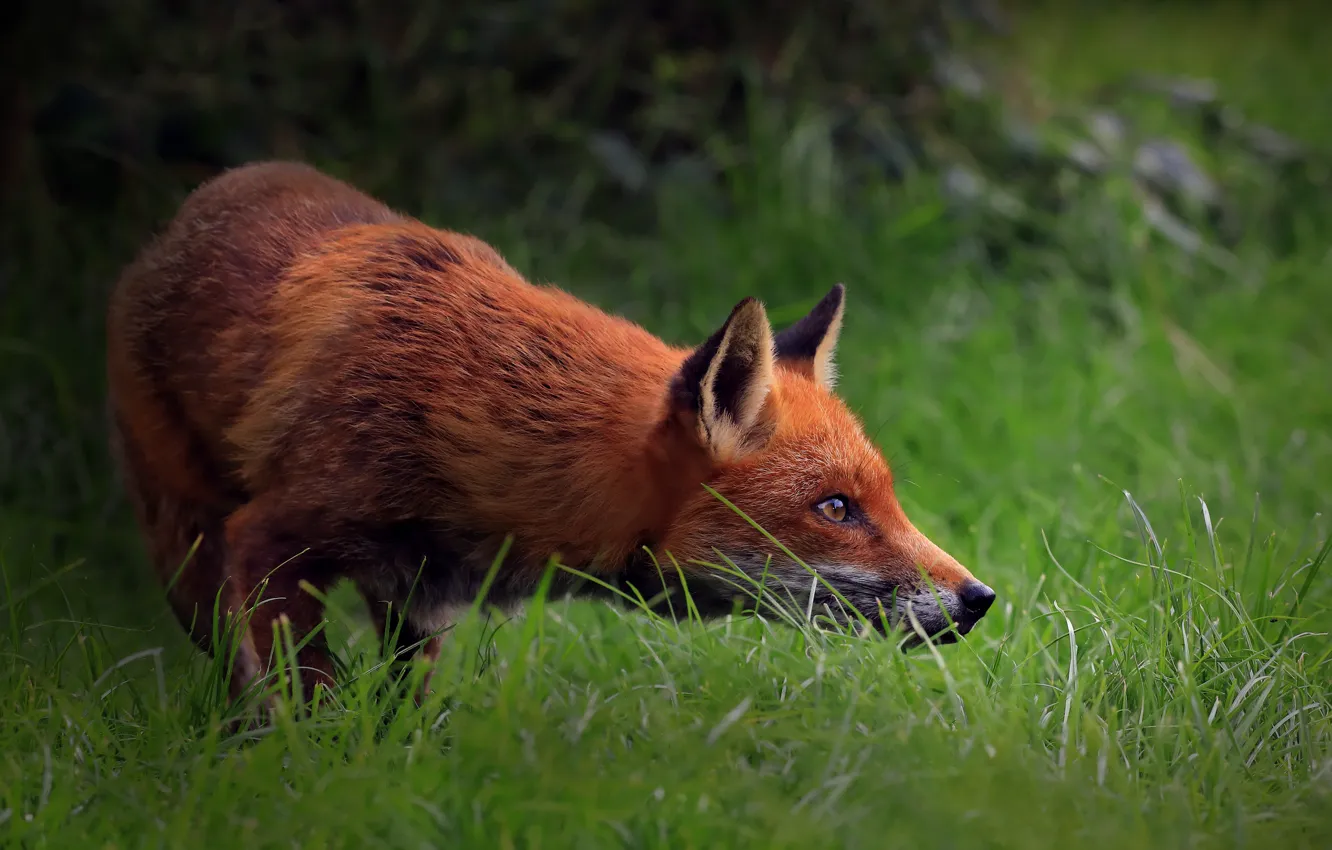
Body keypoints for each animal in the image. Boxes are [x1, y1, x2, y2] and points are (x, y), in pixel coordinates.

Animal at [103, 161, 996, 703]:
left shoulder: (419, 603)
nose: (980, 598)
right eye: (836, 509)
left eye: (886, 496)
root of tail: (203, 199)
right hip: (188, 553)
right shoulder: (274, 540)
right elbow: (311, 697)